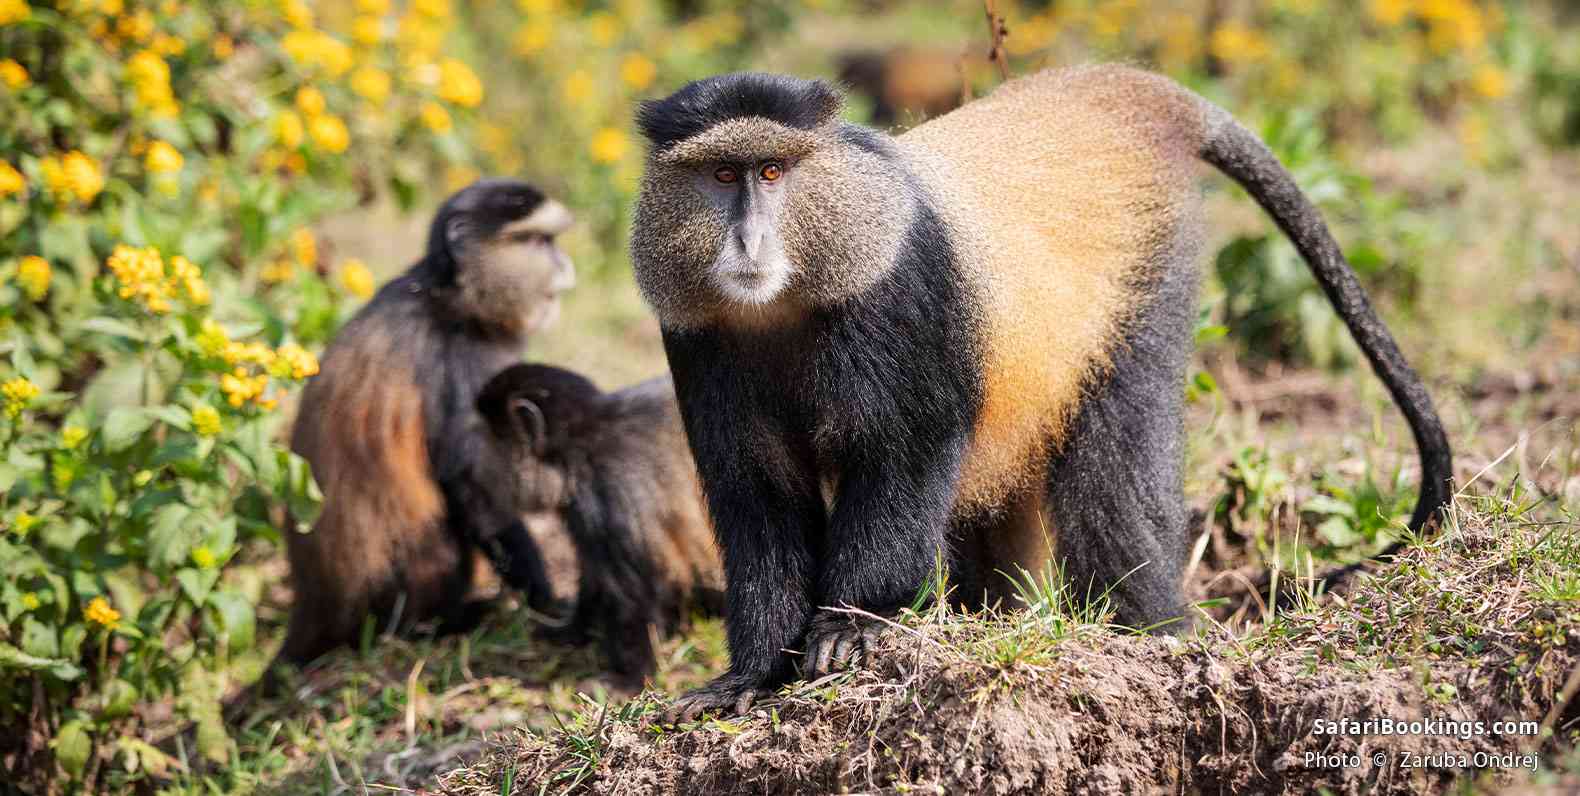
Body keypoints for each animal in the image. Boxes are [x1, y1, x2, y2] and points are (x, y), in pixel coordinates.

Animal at [277, 179, 576, 669]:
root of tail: (314, 609)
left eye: (551, 241)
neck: (449, 296)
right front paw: (548, 603)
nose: (564, 265)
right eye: (538, 241)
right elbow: (472, 487)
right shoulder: (460, 360)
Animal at [473, 363, 724, 684]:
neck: (578, 448)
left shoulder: (608, 485)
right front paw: (570, 631)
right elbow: (594, 573)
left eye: (492, 442)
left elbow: (630, 590)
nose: (478, 463)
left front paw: (628, 679)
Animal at [628, 67, 1455, 721]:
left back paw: (1151, 636)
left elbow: (906, 454)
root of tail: (1111, 93)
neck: (789, 300)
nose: (748, 243)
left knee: (1115, 483)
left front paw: (857, 625)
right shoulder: (699, 340)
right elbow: (757, 495)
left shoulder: (899, 293)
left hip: (1146, 282)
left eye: (772, 172)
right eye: (722, 176)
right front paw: (751, 675)